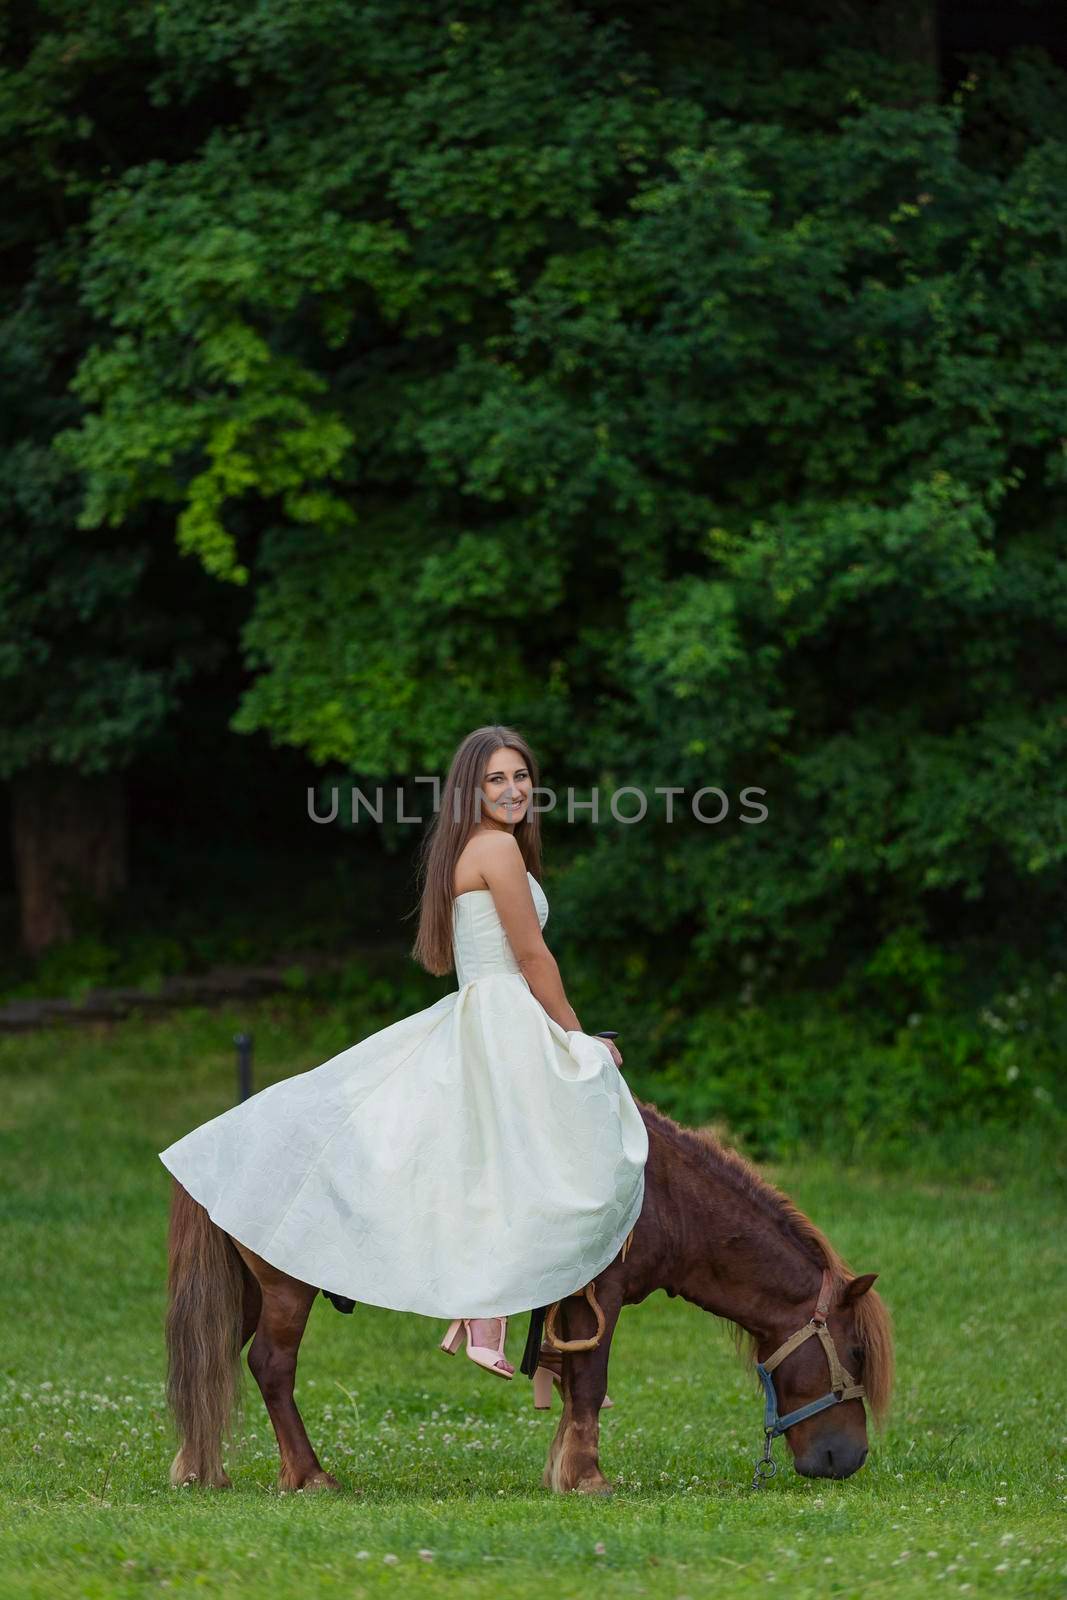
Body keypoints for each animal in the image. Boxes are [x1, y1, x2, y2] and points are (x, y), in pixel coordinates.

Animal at [164, 1107, 895, 1491]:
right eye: (856, 1354)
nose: (848, 1459)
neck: (664, 1197)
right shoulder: (601, 1296)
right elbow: (591, 1380)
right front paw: (589, 1479)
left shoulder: (574, 1302)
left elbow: (571, 1382)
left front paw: (563, 1471)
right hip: (285, 1290)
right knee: (270, 1368)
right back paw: (309, 1475)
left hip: (247, 1292)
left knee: (213, 1365)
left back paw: (199, 1468)